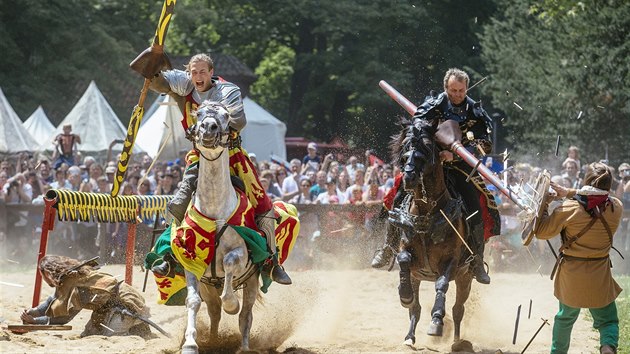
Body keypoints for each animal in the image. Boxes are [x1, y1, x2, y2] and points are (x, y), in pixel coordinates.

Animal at [177, 101, 260, 352]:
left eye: (225, 115)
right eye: (200, 114)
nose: (209, 128)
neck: (215, 211)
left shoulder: (242, 255)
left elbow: (230, 262)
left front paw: (231, 303)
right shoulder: (191, 263)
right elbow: (193, 301)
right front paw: (190, 343)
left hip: (252, 281)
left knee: (246, 315)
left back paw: (244, 346)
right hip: (209, 286)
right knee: (214, 311)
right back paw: (213, 340)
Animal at [388, 118, 476, 348]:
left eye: (427, 148)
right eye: (405, 149)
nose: (409, 176)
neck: (426, 211)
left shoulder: (451, 261)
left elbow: (441, 284)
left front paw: (436, 321)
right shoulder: (409, 258)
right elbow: (403, 260)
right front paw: (404, 295)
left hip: (466, 278)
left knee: (458, 310)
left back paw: (457, 341)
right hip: (418, 277)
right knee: (416, 309)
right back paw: (409, 337)